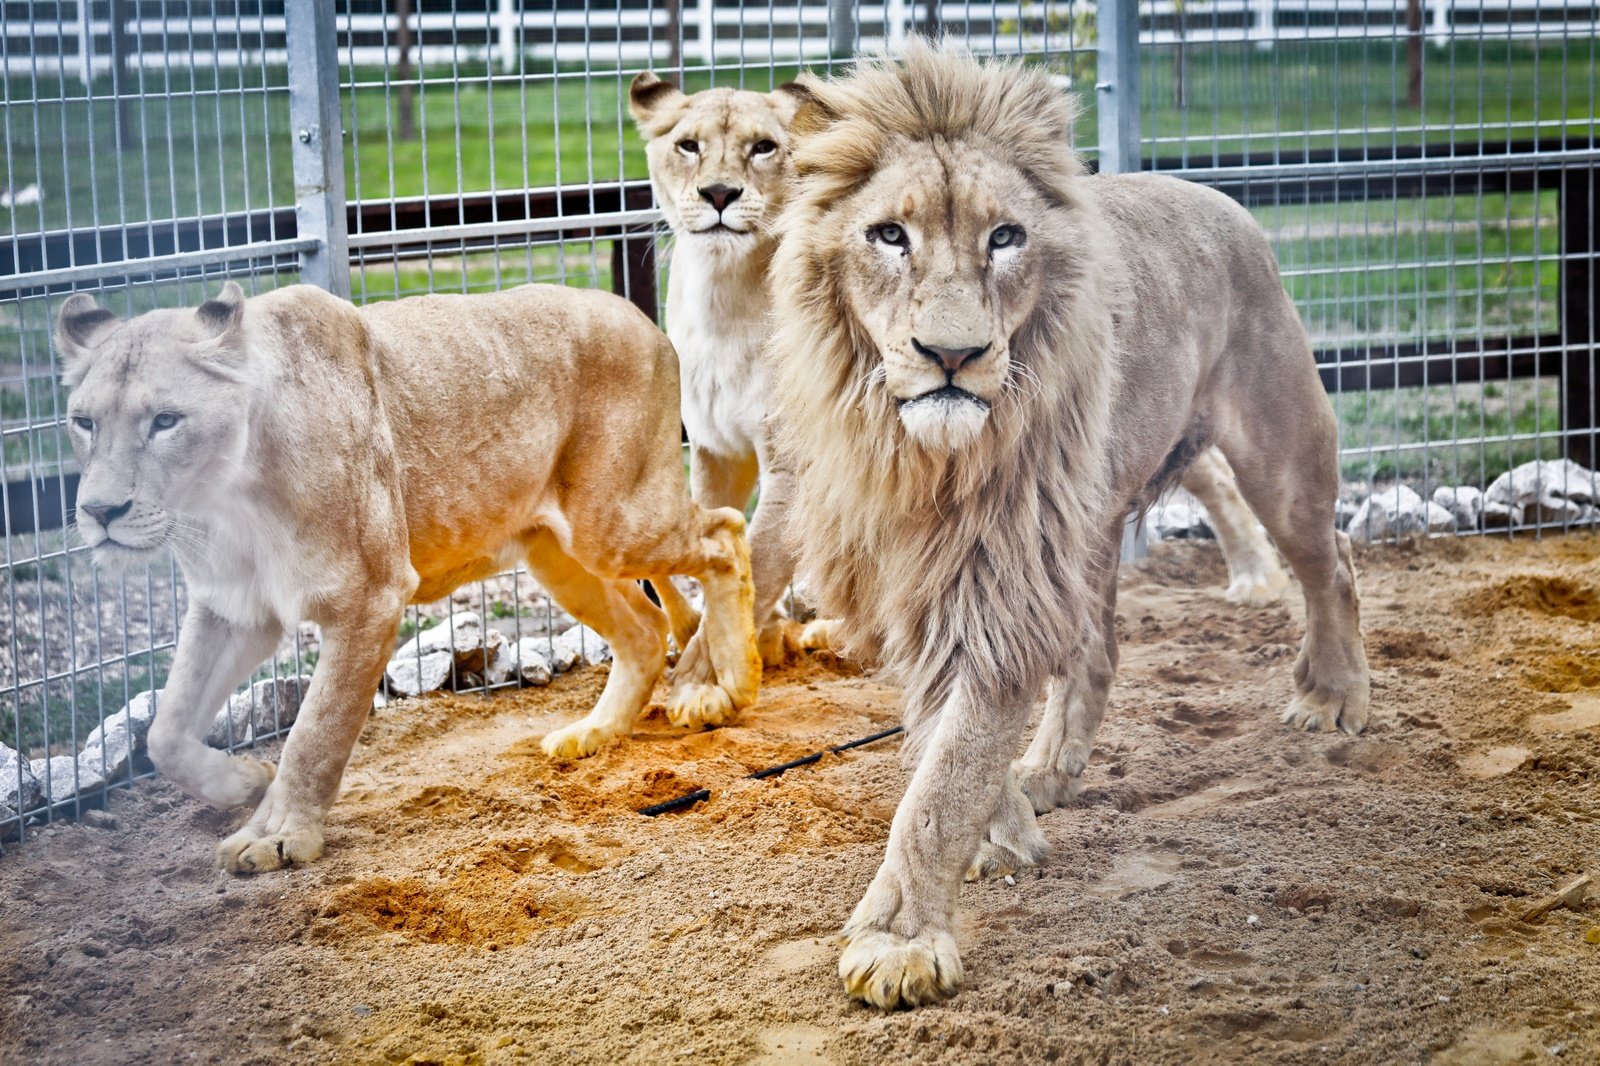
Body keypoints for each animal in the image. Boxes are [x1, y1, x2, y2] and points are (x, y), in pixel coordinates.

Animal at [59, 281, 758, 870]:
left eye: (166, 420)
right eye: (83, 422)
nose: (99, 512)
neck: (224, 500)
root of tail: (642, 319)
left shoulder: (369, 596)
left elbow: (314, 733)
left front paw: (279, 836)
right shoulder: (234, 608)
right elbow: (166, 732)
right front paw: (242, 782)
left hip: (614, 521)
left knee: (724, 532)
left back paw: (735, 683)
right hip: (558, 554)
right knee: (644, 627)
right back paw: (593, 733)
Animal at [768, 43, 1369, 1005]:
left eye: (1004, 237)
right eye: (889, 236)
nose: (953, 355)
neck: (920, 458)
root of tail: (1219, 196)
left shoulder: (999, 584)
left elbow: (941, 783)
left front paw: (899, 939)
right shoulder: (925, 579)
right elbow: (943, 739)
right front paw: (1004, 828)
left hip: (1280, 452)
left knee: (1331, 564)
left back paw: (1333, 695)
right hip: (1086, 523)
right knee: (1099, 649)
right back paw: (1051, 769)